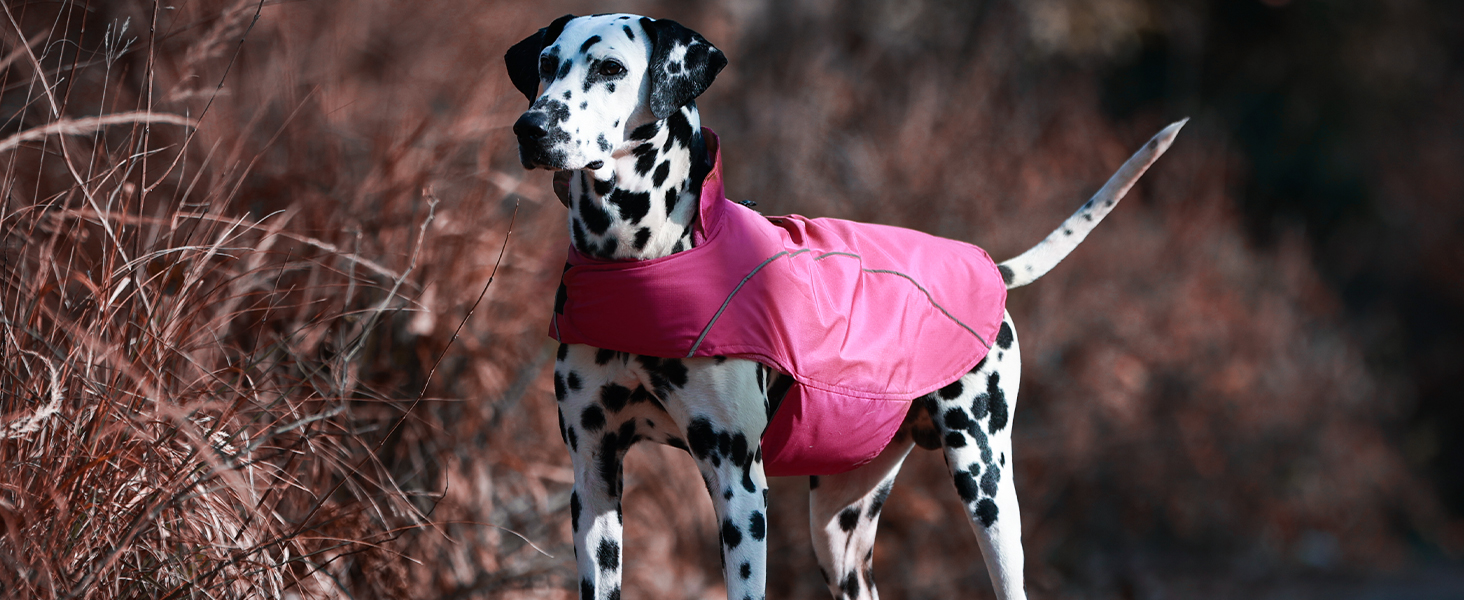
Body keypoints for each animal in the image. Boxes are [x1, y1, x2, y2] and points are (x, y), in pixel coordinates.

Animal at [509, 12, 1182, 600]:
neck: (639, 260)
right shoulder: (594, 475)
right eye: (546, 64)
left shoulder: (738, 484)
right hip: (838, 531)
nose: (530, 127)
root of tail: (991, 267)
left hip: (985, 482)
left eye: (610, 68)